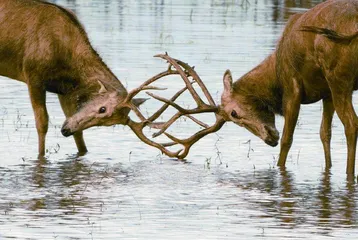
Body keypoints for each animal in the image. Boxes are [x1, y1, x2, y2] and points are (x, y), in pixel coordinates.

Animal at [136, 0, 358, 176]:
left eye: (233, 113)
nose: (270, 138)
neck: (275, 76)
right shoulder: (325, 93)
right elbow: (324, 134)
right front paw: (328, 169)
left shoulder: (293, 87)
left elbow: (287, 139)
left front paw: (279, 167)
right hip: (337, 83)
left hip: (338, 78)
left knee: (351, 124)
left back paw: (349, 173)